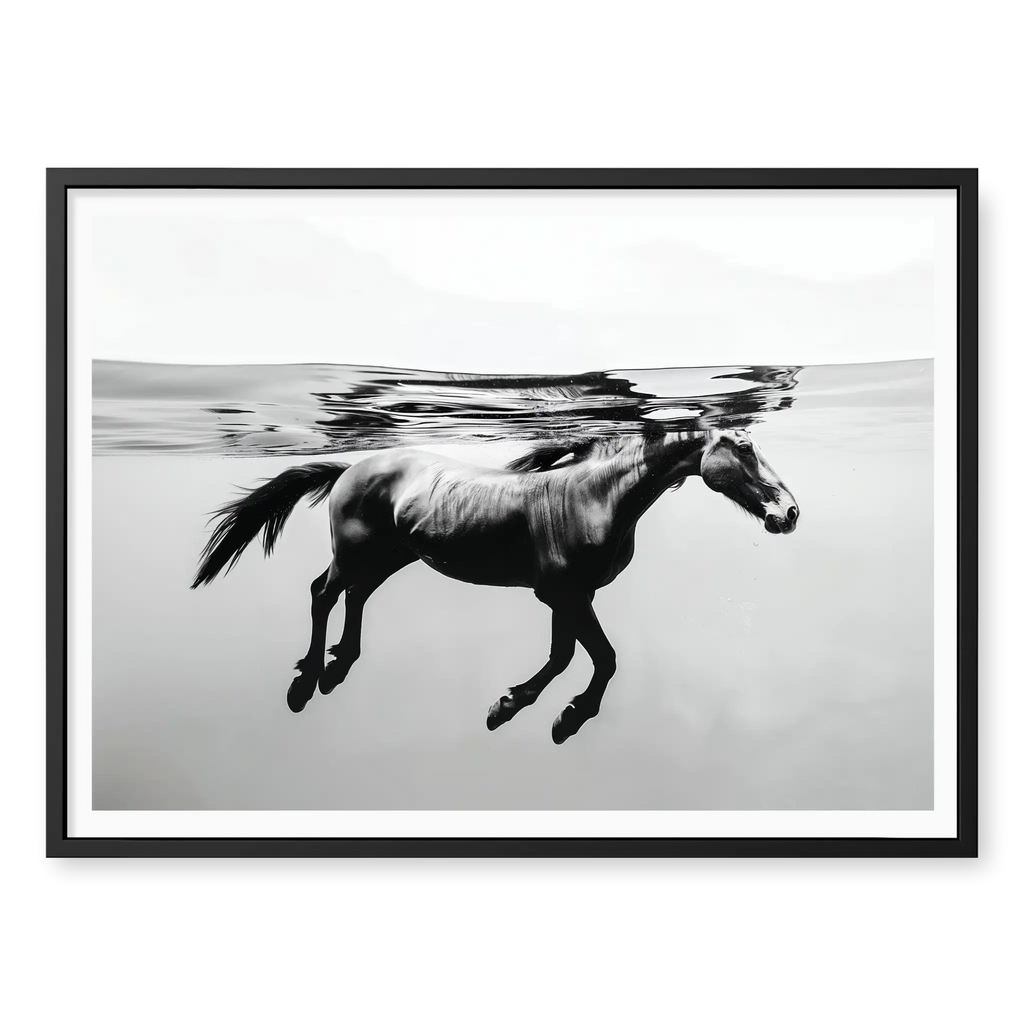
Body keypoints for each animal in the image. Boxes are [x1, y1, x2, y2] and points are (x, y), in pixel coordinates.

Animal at [191, 428, 799, 743]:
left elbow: (569, 656)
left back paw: (336, 670)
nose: (788, 513)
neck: (596, 497)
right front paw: (551, 715)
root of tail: (349, 469)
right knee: (323, 592)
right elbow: (595, 657)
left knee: (354, 598)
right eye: (744, 447)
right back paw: (306, 682)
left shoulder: (570, 597)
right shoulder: (564, 594)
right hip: (357, 554)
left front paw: (525, 711)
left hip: (391, 558)